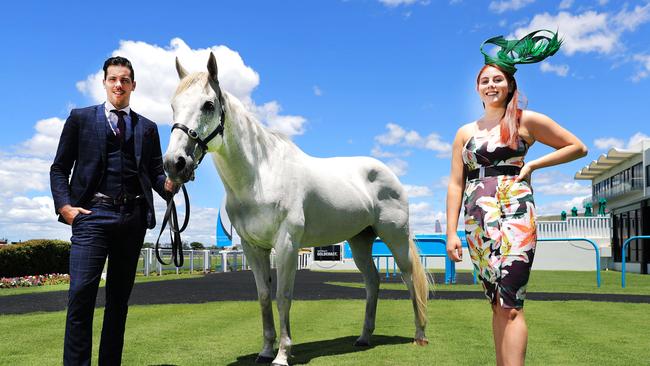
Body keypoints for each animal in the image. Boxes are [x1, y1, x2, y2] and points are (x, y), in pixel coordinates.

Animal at [162, 53, 428, 364]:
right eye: (173, 105)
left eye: (208, 105)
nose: (174, 163)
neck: (261, 175)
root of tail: (389, 174)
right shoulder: (253, 247)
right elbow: (264, 296)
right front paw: (265, 351)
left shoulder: (287, 243)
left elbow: (283, 296)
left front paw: (282, 354)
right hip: (360, 240)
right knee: (372, 282)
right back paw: (363, 338)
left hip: (395, 236)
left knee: (409, 278)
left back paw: (420, 336)